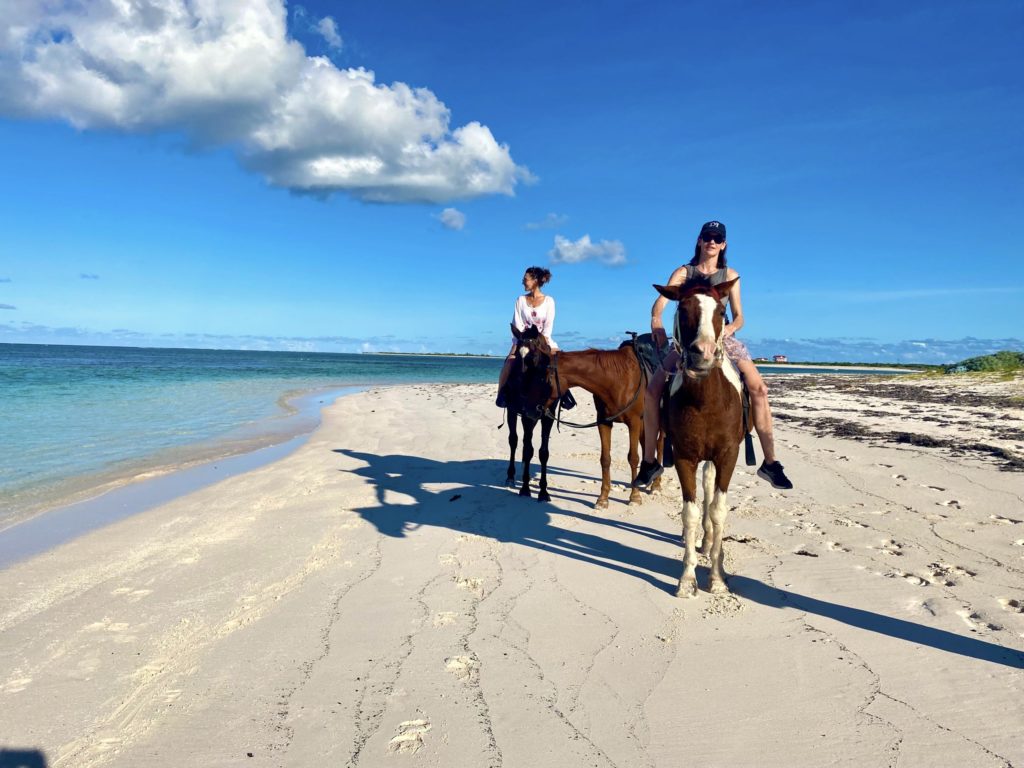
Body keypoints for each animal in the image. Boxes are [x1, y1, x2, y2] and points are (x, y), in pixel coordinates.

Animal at [512, 327, 655, 507]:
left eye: (542, 378)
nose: (528, 410)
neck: (618, 380)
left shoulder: (634, 423)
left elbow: (633, 457)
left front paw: (635, 496)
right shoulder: (604, 423)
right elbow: (605, 459)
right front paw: (603, 498)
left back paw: (656, 486)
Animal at [655, 280, 745, 598]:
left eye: (721, 311)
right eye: (683, 309)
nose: (703, 353)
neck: (706, 401)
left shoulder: (727, 455)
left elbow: (718, 511)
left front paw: (717, 578)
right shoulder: (684, 456)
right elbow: (690, 513)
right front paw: (686, 579)